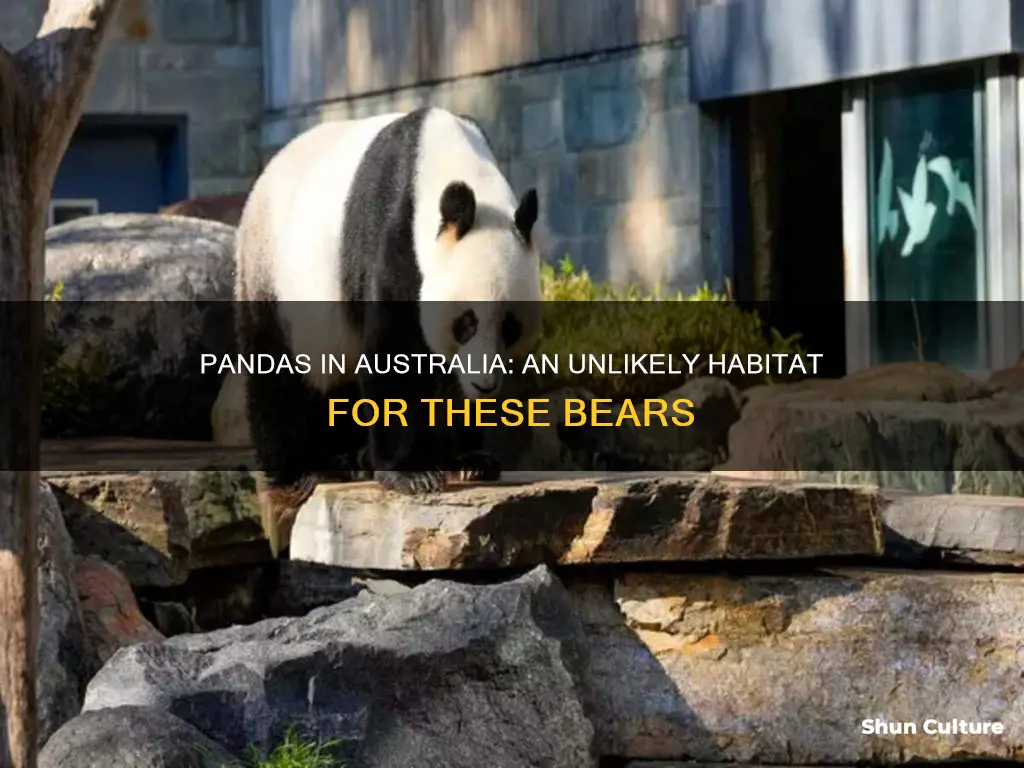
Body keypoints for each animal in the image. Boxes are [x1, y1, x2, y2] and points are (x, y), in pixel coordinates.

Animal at [234, 106, 543, 557]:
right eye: (466, 322)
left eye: (510, 326)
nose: (485, 385)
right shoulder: (394, 236)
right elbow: (395, 355)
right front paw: (411, 475)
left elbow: (445, 383)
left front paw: (470, 461)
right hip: (274, 277)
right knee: (278, 375)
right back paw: (302, 473)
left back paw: (353, 459)